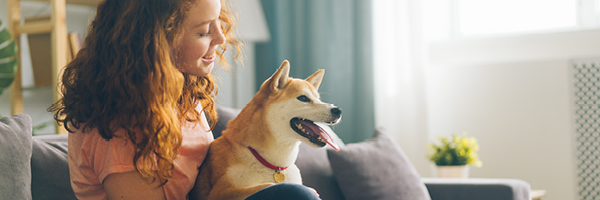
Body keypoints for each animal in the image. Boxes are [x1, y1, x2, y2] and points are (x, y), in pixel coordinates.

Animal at [192, 60, 342, 199]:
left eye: (319, 99)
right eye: (303, 98)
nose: (338, 110)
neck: (275, 166)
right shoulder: (220, 192)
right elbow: (266, 186)